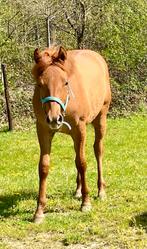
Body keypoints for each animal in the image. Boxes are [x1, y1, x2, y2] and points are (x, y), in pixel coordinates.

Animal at [31, 45, 110, 223]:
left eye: (65, 82)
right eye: (40, 84)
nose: (54, 118)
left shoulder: (80, 129)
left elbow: (82, 163)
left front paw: (86, 203)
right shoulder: (43, 130)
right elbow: (44, 166)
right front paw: (39, 211)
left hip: (100, 118)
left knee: (98, 151)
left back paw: (101, 191)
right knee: (76, 157)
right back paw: (78, 190)